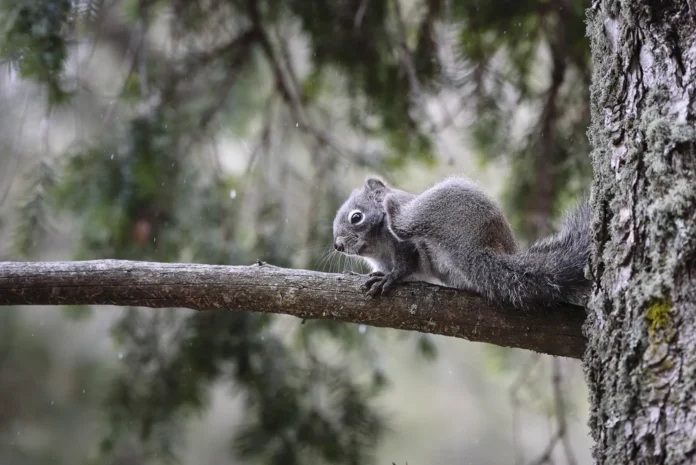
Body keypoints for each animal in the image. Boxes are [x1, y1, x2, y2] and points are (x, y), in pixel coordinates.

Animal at [332, 176, 591, 310]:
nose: (338, 246)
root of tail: (477, 251)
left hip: (442, 204)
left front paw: (391, 277)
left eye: (356, 217)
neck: (379, 249)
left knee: (404, 224)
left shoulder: (404, 248)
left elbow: (404, 265)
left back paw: (391, 205)